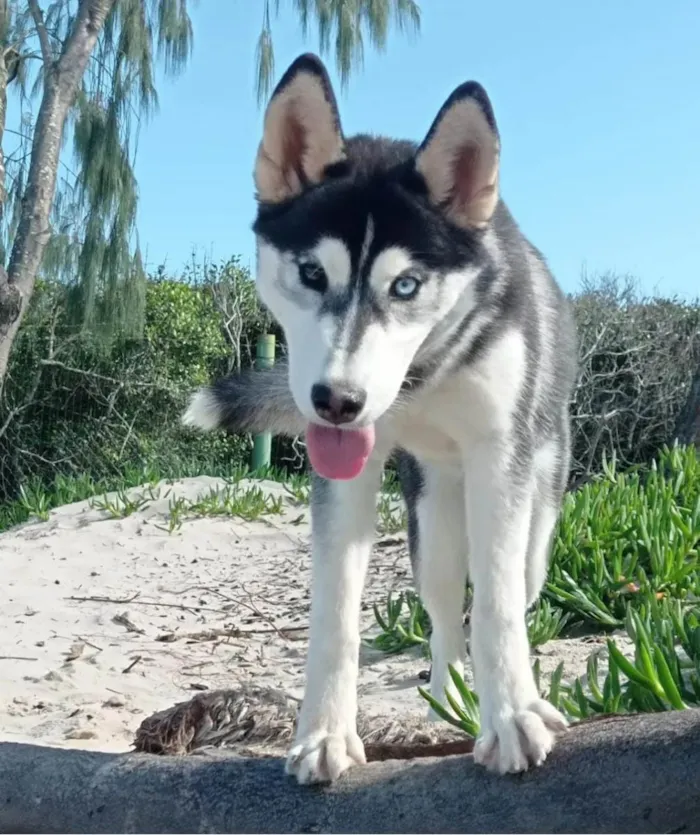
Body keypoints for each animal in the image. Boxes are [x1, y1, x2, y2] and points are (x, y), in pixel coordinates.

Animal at [183, 52, 576, 784]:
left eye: (406, 285)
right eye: (312, 273)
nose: (337, 400)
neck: (425, 375)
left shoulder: (498, 460)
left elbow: (499, 604)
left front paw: (514, 714)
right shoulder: (346, 473)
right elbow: (336, 613)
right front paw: (324, 734)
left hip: (534, 506)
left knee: (513, 585)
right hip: (431, 524)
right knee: (445, 611)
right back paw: (451, 698)